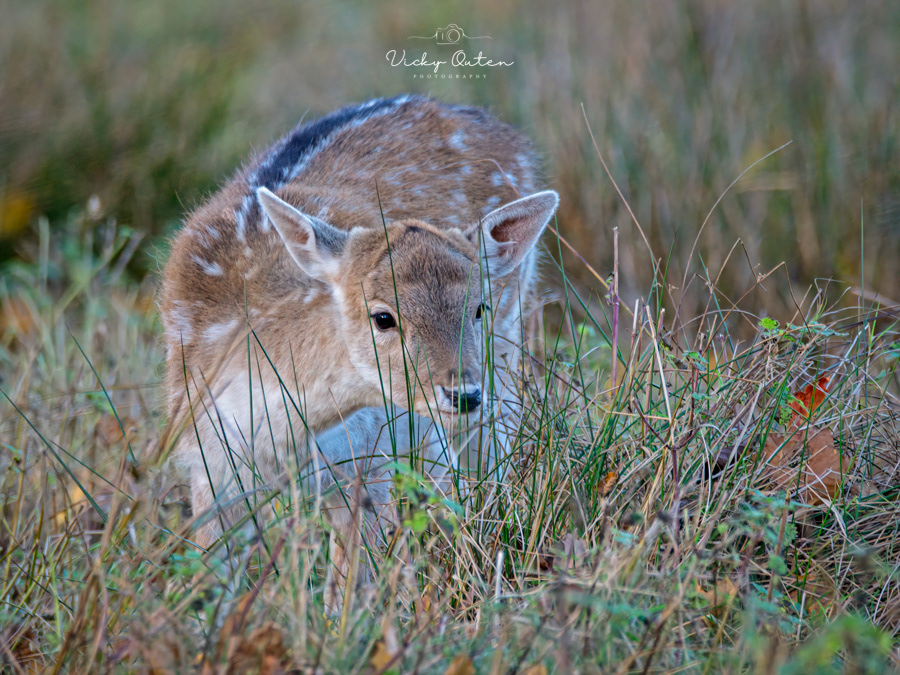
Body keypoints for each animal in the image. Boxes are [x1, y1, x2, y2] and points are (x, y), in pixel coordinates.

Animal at [159, 94, 558, 609]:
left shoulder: (368, 456)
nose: (463, 394)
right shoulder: (207, 455)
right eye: (382, 316)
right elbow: (207, 580)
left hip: (507, 348)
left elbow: (353, 586)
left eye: (478, 308)